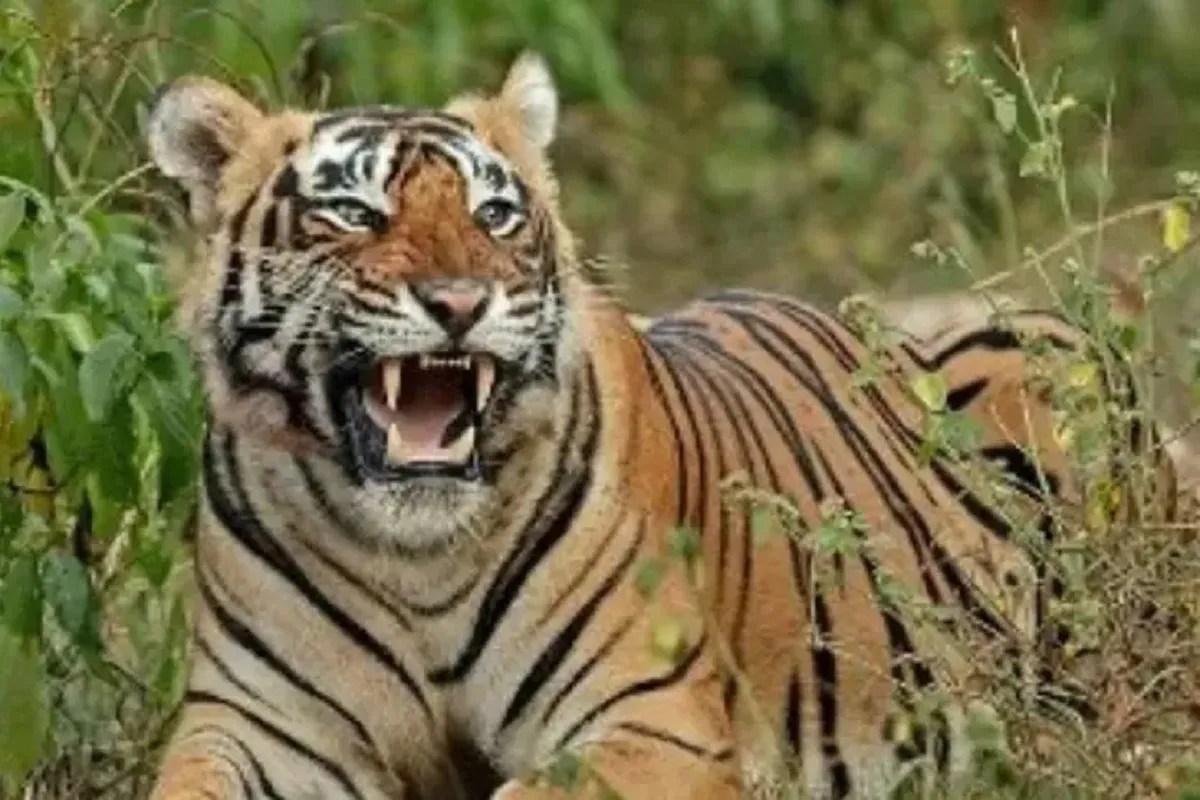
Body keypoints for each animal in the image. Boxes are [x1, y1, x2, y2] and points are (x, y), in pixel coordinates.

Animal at [144, 53, 1172, 799]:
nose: (461, 303)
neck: (416, 555)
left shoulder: (652, 719)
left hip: (1038, 360)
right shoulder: (255, 727)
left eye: (495, 213)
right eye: (354, 213)